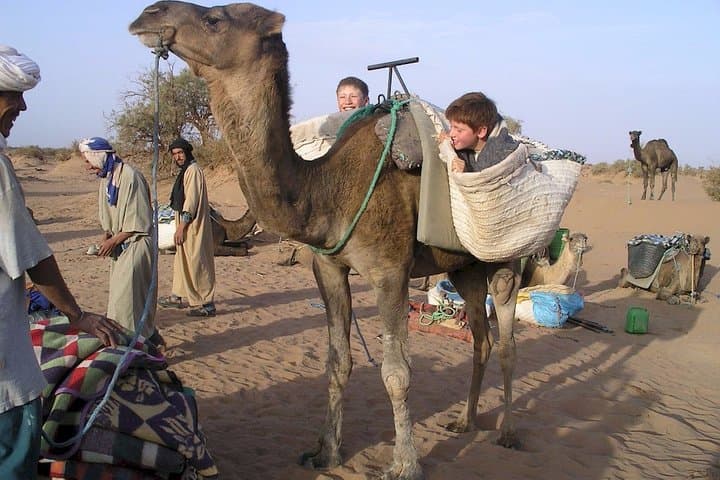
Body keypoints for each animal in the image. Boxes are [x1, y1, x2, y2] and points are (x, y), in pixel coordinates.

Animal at [131, 4, 522, 479]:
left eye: (215, 19)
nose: (148, 16)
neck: (327, 192)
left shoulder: (390, 271)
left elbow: (396, 372)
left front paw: (404, 465)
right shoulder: (329, 266)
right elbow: (338, 362)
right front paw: (326, 452)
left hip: (507, 260)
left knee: (507, 342)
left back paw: (507, 432)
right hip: (464, 267)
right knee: (482, 339)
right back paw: (464, 421)